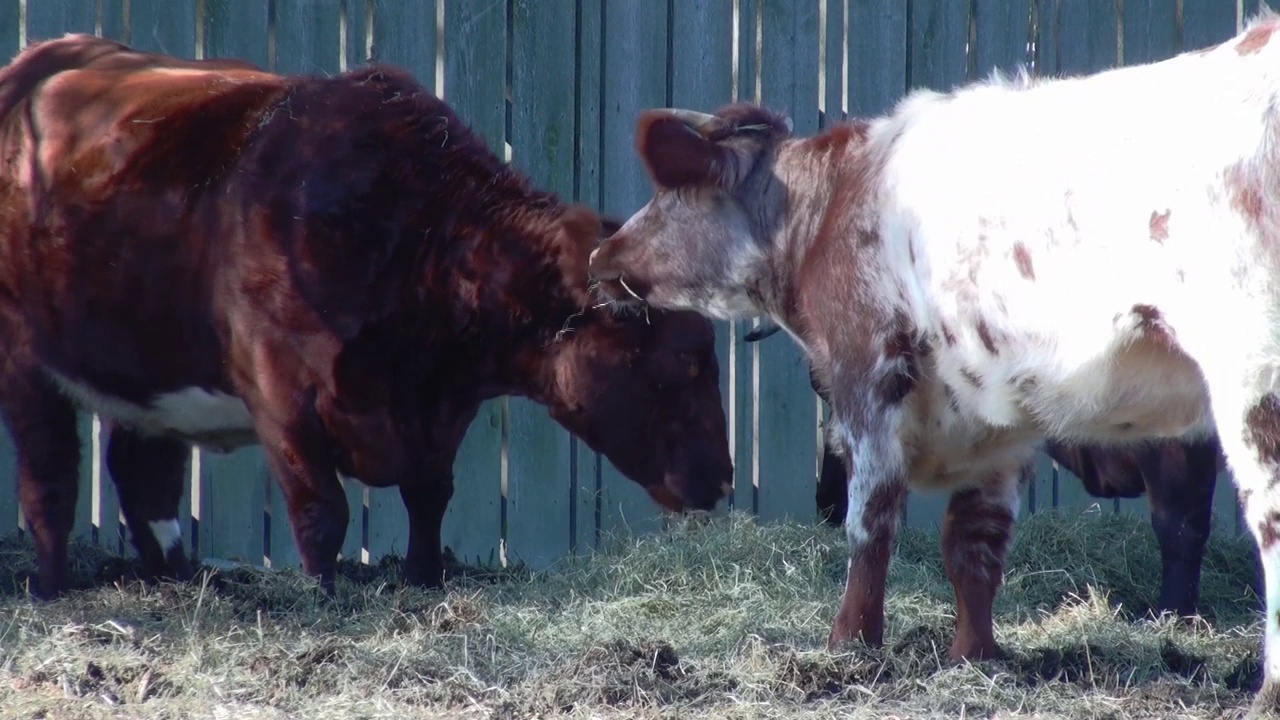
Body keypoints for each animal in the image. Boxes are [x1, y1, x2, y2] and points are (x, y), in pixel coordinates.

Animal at [0, 35, 732, 599]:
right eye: (683, 362)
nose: (723, 478)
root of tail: (39, 62)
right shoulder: (282, 395)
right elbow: (322, 512)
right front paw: (324, 598)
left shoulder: (441, 415)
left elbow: (430, 497)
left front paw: (425, 578)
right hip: (24, 361)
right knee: (51, 481)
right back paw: (52, 588)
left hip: (147, 368)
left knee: (141, 475)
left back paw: (173, 581)